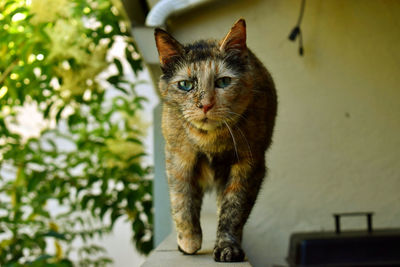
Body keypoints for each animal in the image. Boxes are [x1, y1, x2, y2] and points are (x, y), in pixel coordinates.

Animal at [155, 19, 276, 264]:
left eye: (223, 81)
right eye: (185, 85)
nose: (206, 105)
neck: (208, 140)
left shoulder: (249, 165)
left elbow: (234, 210)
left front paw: (228, 248)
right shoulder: (178, 160)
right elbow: (182, 203)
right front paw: (189, 242)